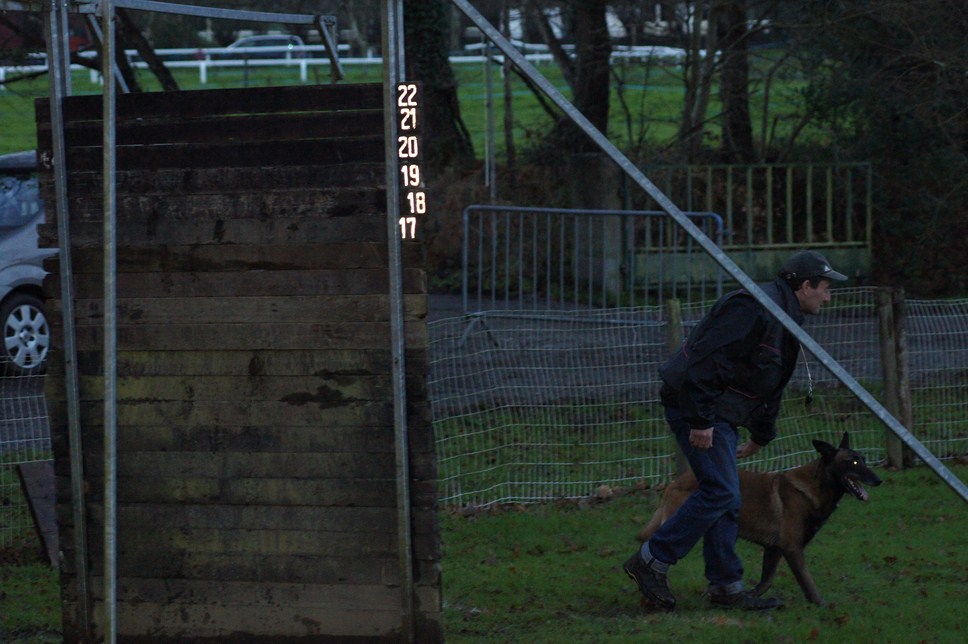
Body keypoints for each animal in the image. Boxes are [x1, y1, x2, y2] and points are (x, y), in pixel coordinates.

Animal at [640, 432, 880, 604]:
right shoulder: (792, 548)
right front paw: (820, 605)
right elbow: (807, 581)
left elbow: (766, 581)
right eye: (854, 463)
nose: (878, 480)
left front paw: (751, 597)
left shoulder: (774, 549)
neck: (815, 486)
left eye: (863, 460)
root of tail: (676, 481)